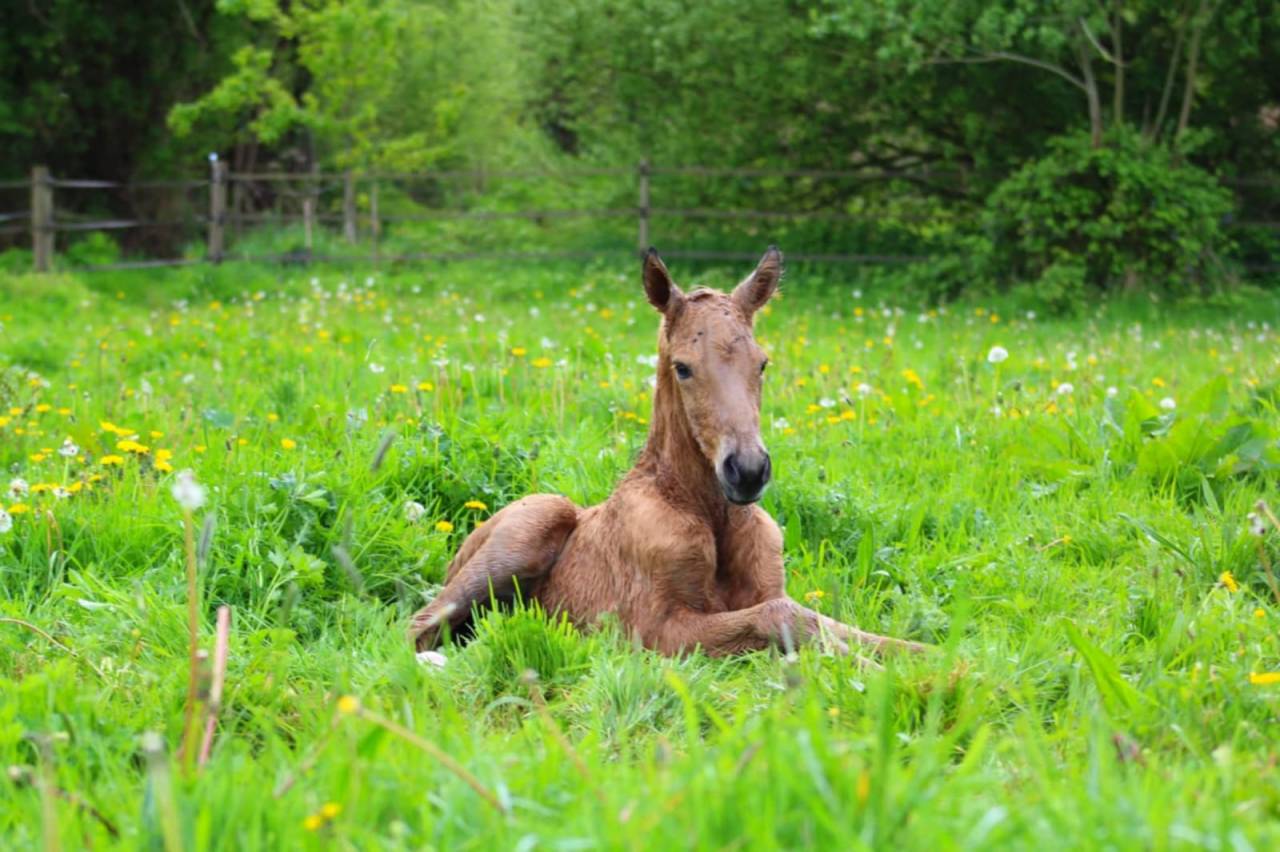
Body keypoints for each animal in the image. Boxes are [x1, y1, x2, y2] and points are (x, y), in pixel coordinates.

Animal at [408, 248, 921, 660]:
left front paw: (930, 660)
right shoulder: (655, 630)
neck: (710, 514)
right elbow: (783, 616)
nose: (748, 470)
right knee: (417, 627)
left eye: (762, 364)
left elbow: (832, 623)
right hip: (531, 525)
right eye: (683, 368)